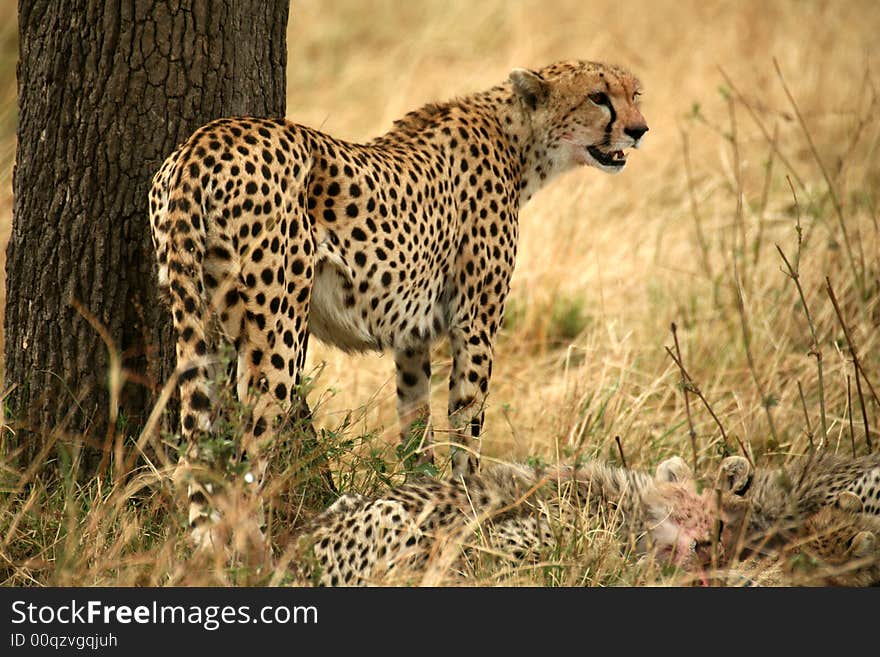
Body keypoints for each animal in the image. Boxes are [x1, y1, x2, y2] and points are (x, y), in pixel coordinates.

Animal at [148, 61, 648, 544]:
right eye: (598, 97)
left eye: (634, 94)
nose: (640, 130)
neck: (517, 139)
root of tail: (204, 141)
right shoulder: (475, 326)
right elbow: (466, 428)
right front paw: (472, 515)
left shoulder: (412, 337)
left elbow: (416, 427)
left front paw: (420, 501)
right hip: (278, 327)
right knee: (247, 456)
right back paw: (256, 555)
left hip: (201, 317)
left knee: (199, 447)